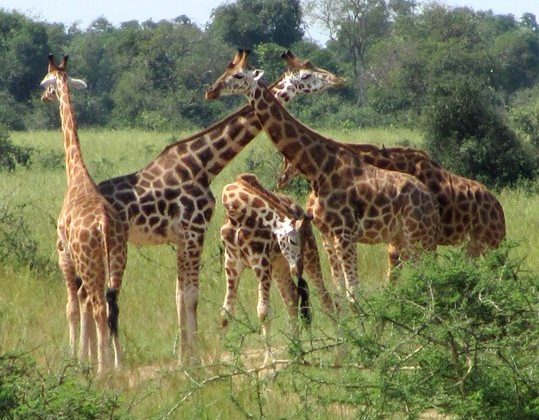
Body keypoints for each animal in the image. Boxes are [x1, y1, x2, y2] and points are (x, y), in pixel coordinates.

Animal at [39, 54, 127, 376]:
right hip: (117, 259)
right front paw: (84, 356)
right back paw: (116, 363)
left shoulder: (64, 255)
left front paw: (74, 358)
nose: (42, 97)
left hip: (89, 262)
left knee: (99, 306)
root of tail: (104, 224)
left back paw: (103, 369)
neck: (76, 174)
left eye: (46, 82)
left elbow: (72, 308)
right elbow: (84, 305)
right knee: (112, 304)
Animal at [205, 50, 440, 300]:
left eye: (238, 75)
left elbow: (353, 291)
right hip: (405, 238)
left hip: (418, 237)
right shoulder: (328, 235)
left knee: (429, 276)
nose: (211, 91)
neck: (318, 169)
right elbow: (340, 288)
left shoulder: (344, 234)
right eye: (227, 71)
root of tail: (431, 201)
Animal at [219, 173, 314, 364]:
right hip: (279, 265)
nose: (296, 269)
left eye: (299, 241)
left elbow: (263, 312)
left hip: (310, 256)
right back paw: (297, 353)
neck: (236, 214)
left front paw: (268, 363)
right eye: (293, 240)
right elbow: (225, 314)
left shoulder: (260, 262)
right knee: (292, 296)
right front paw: (218, 366)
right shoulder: (232, 263)